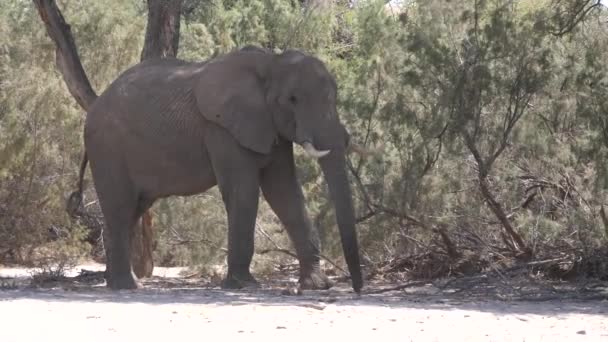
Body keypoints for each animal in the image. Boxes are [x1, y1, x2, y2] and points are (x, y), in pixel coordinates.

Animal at [70, 44, 366, 292]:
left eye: (335, 96)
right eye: (292, 99)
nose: (357, 289)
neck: (271, 62)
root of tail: (94, 106)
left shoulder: (272, 128)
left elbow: (285, 192)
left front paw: (316, 286)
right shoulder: (221, 129)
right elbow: (243, 192)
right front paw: (244, 286)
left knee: (132, 210)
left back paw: (120, 284)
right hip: (107, 148)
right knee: (120, 209)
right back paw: (127, 287)